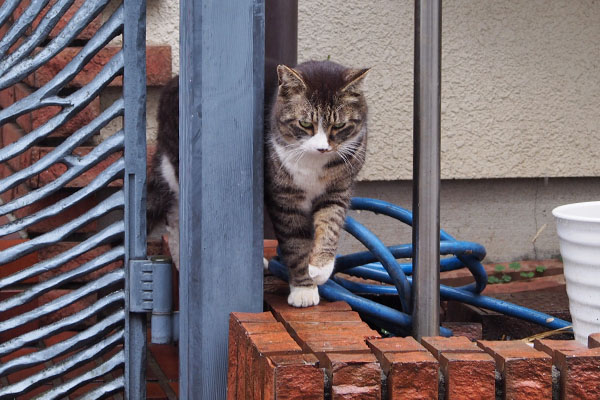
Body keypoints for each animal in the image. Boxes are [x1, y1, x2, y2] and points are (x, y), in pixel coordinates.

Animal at [268, 61, 370, 306]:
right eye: (305, 123)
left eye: (339, 125)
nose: (322, 148)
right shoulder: (285, 198)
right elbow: (295, 243)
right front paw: (303, 289)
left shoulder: (338, 190)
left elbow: (330, 223)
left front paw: (320, 267)